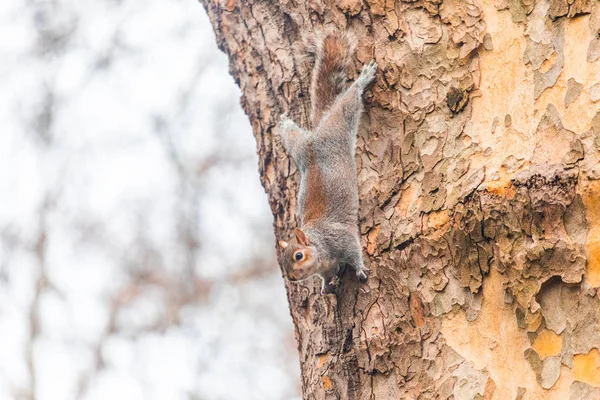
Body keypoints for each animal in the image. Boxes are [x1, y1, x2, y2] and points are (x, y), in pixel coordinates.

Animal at [276, 31, 376, 294]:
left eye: (298, 256)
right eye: (282, 261)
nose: (292, 278)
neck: (320, 249)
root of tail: (316, 135)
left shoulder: (340, 239)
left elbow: (354, 250)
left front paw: (360, 269)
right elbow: (325, 276)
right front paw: (325, 286)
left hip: (337, 125)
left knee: (348, 102)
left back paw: (363, 80)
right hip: (299, 148)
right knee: (292, 135)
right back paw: (283, 123)